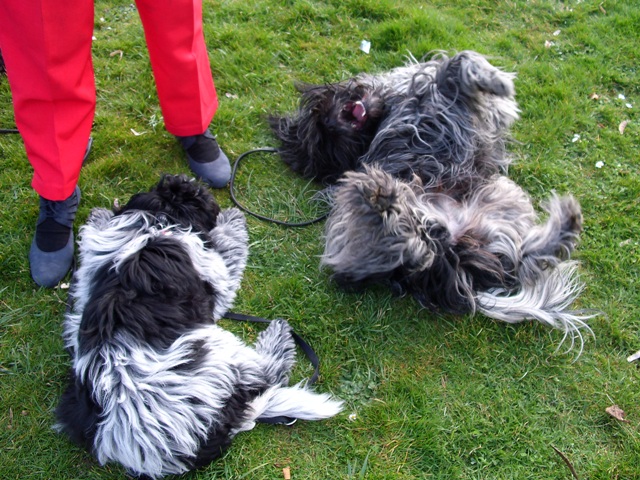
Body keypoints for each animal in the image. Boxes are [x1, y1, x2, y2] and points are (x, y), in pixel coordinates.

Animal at [55, 175, 343, 479]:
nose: (197, 187)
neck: (157, 223)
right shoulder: (216, 275)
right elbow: (228, 247)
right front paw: (232, 219)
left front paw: (98, 215)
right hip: (216, 352)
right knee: (266, 372)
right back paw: (278, 334)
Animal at [270, 50, 519, 196]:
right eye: (323, 140)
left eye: (318, 126)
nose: (329, 124)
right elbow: (453, 67)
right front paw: (498, 81)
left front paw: (494, 80)